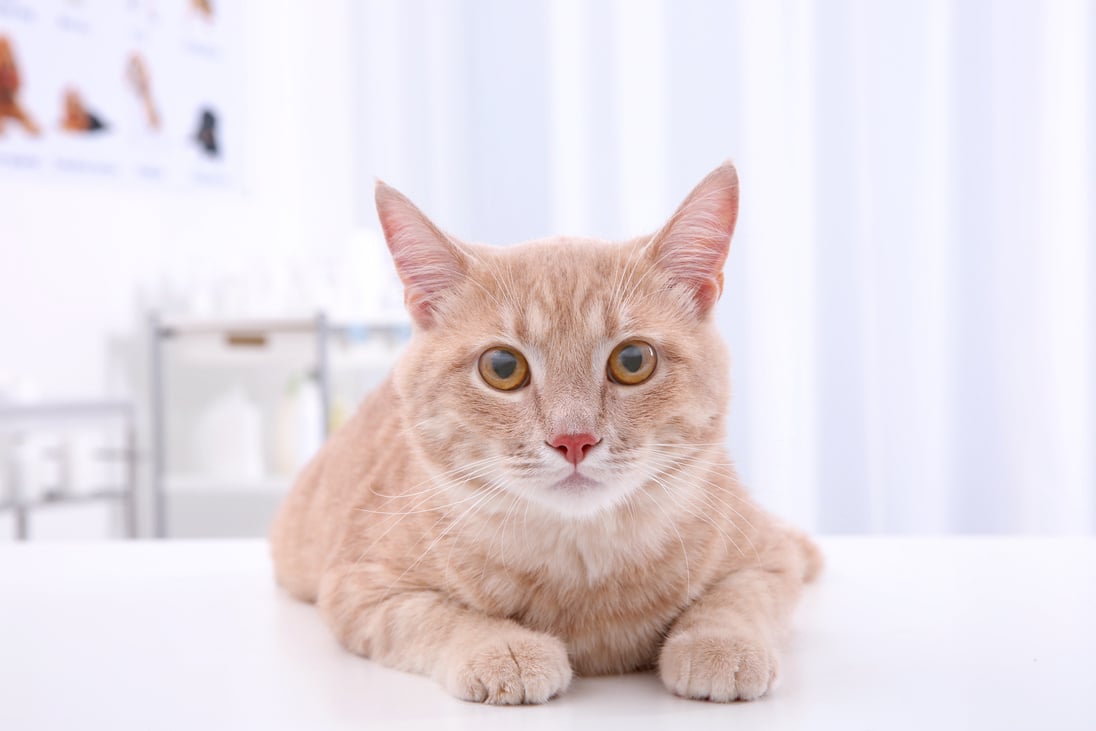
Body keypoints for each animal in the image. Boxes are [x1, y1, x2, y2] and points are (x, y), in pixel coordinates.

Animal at [271, 163, 824, 705]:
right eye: (502, 367)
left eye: (633, 361)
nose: (573, 439)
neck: (581, 566)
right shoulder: (359, 587)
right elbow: (435, 618)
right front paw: (504, 647)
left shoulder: (771, 557)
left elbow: (738, 597)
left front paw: (719, 643)